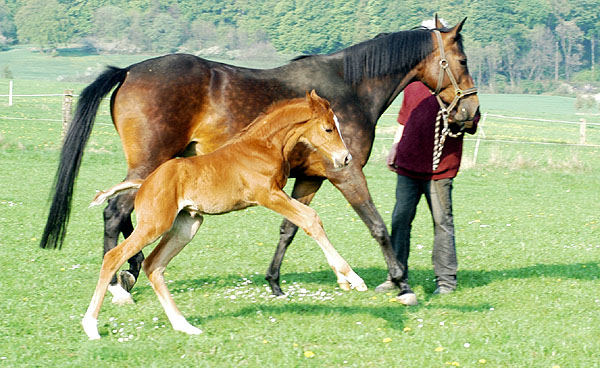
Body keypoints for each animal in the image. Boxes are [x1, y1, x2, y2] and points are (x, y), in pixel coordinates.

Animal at [82, 91, 368, 340]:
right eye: (329, 128)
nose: (345, 158)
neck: (263, 145)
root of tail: (145, 182)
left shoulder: (275, 195)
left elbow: (307, 219)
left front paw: (343, 280)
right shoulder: (268, 195)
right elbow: (310, 218)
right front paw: (352, 278)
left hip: (187, 225)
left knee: (153, 265)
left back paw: (184, 325)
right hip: (154, 224)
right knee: (114, 257)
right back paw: (91, 326)